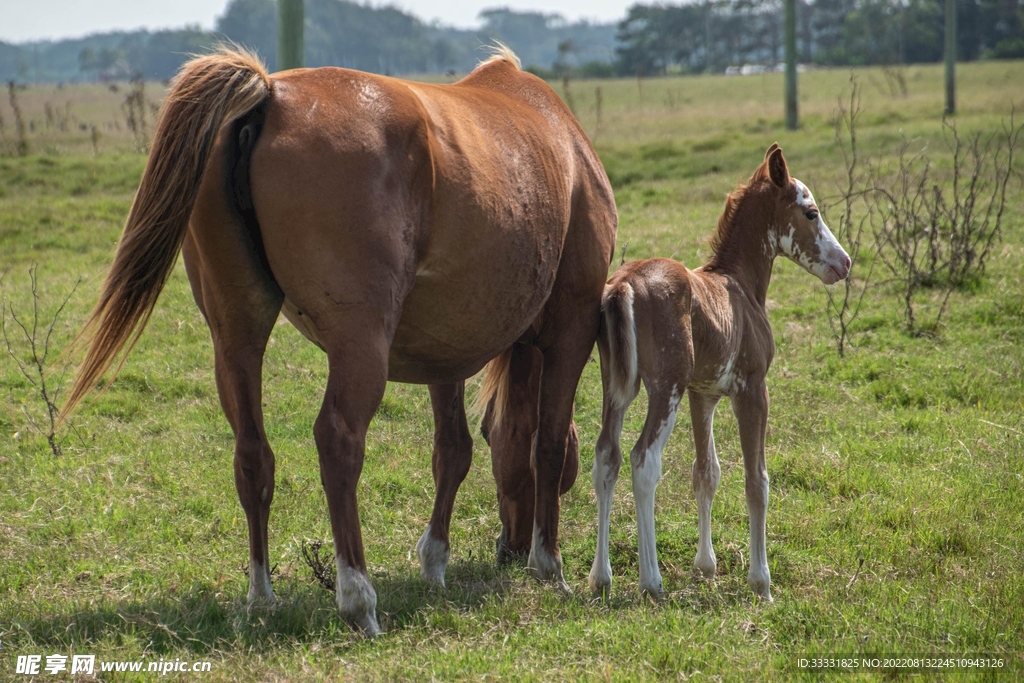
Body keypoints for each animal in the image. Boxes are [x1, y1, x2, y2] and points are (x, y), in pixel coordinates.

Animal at [66, 46, 614, 634]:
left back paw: (262, 595)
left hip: (236, 334)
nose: (508, 549)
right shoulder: (573, 329)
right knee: (338, 443)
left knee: (252, 454)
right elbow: (547, 442)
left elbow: (454, 450)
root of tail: (270, 96)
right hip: (360, 348)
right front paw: (549, 565)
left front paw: (435, 562)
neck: (558, 146)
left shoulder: (445, 352)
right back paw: (357, 597)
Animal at [589, 144, 851, 598]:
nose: (845, 262)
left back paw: (601, 576)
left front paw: (705, 566)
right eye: (811, 212)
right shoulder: (752, 389)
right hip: (666, 388)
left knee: (608, 454)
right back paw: (650, 580)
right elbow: (756, 480)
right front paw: (761, 582)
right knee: (644, 460)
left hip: (618, 387)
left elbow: (706, 473)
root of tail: (624, 283)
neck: (739, 285)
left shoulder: (704, 394)